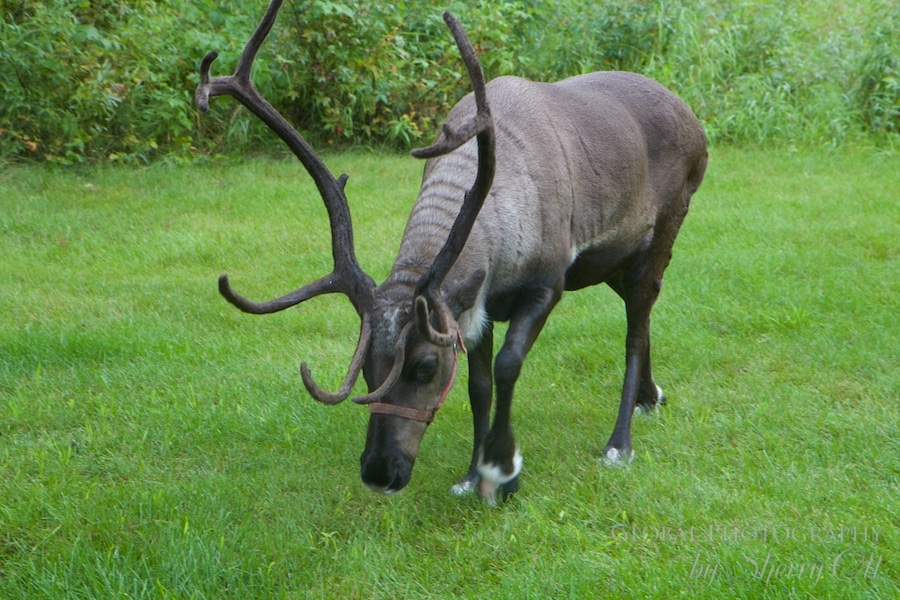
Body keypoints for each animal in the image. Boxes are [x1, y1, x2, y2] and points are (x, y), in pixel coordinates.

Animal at [196, 0, 707, 505]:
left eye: (425, 367)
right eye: (366, 371)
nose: (379, 472)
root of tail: (693, 119)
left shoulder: (547, 282)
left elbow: (507, 365)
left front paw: (502, 469)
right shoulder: (475, 303)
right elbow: (478, 385)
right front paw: (470, 473)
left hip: (663, 231)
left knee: (635, 329)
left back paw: (619, 443)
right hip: (613, 263)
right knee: (641, 314)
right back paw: (650, 396)